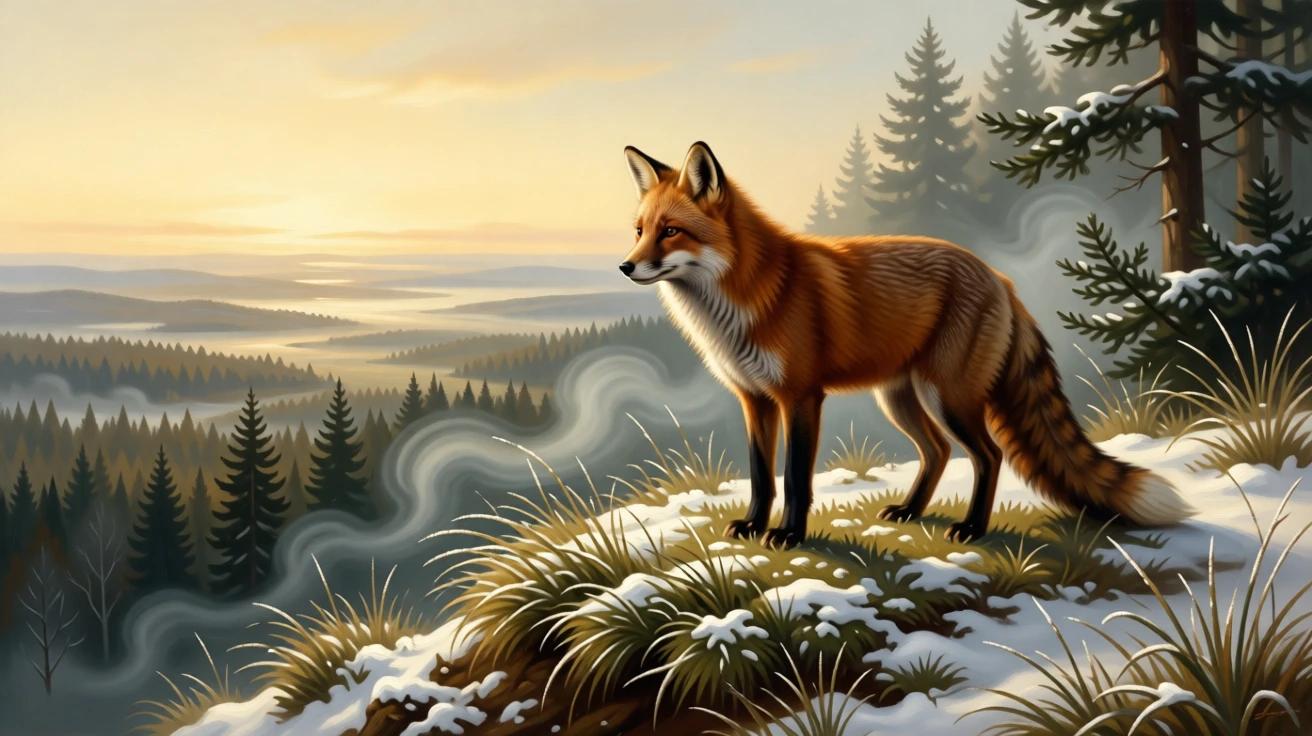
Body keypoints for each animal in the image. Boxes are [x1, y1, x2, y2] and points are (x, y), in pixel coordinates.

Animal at [617, 141, 1193, 549]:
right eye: (639, 230)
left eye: (671, 232)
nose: (624, 267)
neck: (744, 302)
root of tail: (999, 278)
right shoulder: (754, 398)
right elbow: (762, 476)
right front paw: (755, 526)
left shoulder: (801, 396)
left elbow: (796, 477)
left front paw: (789, 535)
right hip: (900, 398)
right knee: (938, 452)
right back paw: (911, 512)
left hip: (948, 397)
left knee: (987, 455)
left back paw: (973, 528)